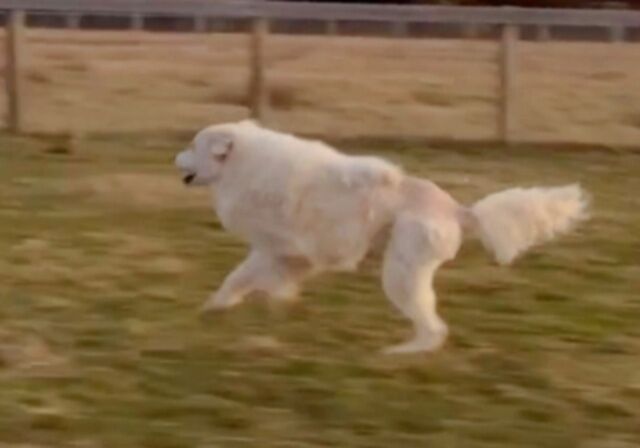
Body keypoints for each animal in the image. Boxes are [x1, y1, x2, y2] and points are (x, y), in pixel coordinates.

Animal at [175, 120, 589, 354]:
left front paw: (217, 308)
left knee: (433, 329)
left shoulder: (273, 249)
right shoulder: (291, 255)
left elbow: (239, 279)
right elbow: (257, 283)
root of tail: (459, 210)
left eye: (194, 145)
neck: (244, 164)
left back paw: (399, 356)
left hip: (401, 276)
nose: (174, 159)